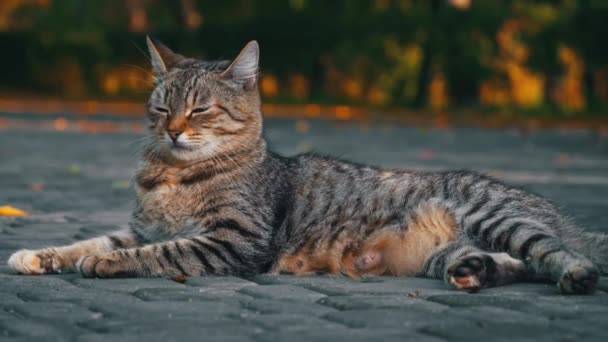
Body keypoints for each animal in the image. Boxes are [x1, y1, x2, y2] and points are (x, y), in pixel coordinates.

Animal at [5, 36, 608, 294]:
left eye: (199, 109)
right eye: (161, 107)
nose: (172, 129)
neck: (171, 176)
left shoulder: (232, 241)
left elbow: (155, 253)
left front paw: (103, 264)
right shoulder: (137, 227)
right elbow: (88, 241)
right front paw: (40, 254)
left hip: (498, 218)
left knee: (557, 255)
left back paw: (573, 273)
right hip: (451, 250)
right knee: (514, 264)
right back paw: (477, 272)